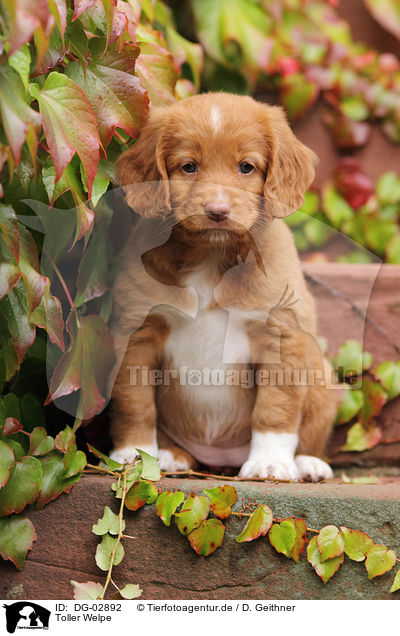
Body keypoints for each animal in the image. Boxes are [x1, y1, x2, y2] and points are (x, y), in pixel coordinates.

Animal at [108, 92, 338, 482]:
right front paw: (132, 456)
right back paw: (171, 455)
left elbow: (276, 406)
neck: (212, 258)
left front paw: (270, 463)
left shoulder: (281, 334)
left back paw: (308, 463)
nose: (217, 211)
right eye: (188, 166)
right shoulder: (135, 333)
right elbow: (134, 402)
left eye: (246, 167)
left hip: (322, 374)